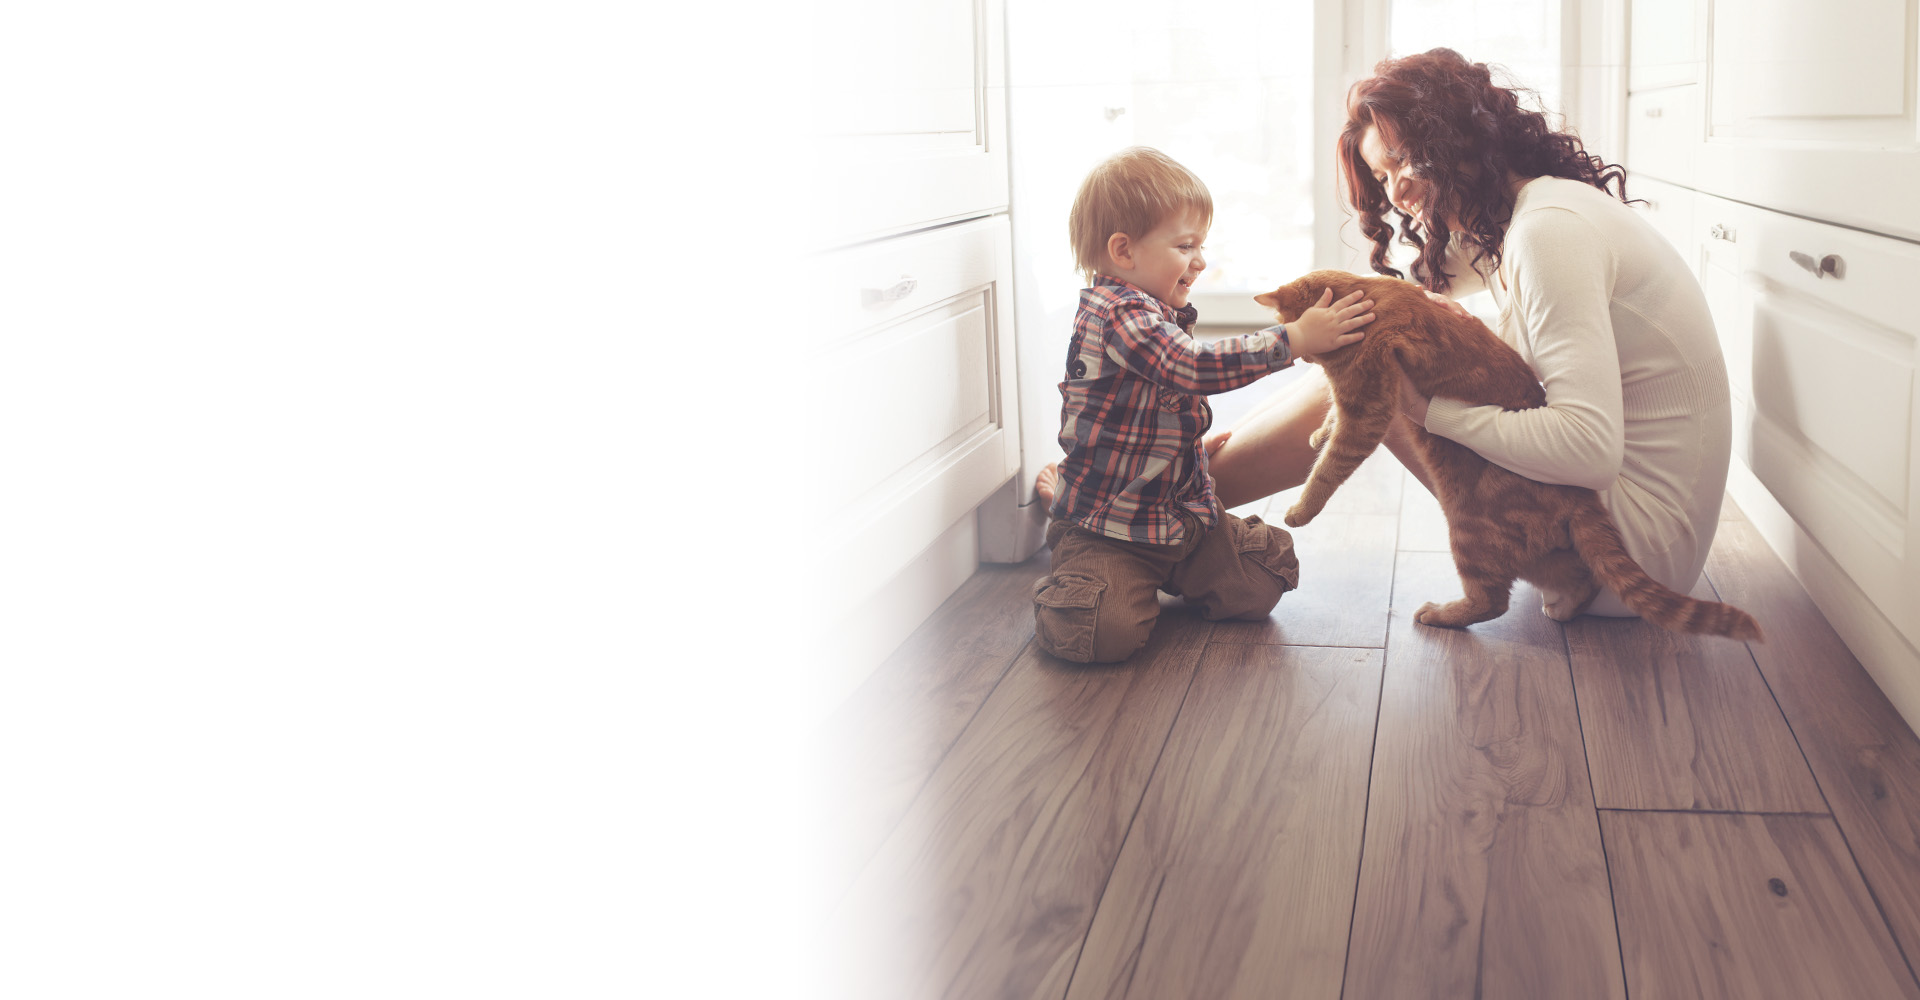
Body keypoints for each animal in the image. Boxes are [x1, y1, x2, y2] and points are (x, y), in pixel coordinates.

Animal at [1251, 266, 1758, 641]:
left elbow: (1328, 470)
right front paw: (1317, 435)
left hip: (1468, 528)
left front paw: (1299, 511)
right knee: (1579, 577)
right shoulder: (1356, 402)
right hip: (1537, 551)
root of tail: (1581, 496)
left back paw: (1440, 615)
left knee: (1491, 602)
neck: (1365, 296)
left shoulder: (1368, 408)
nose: (1300, 358)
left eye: (1296, 333)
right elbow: (1329, 425)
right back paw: (1566, 607)